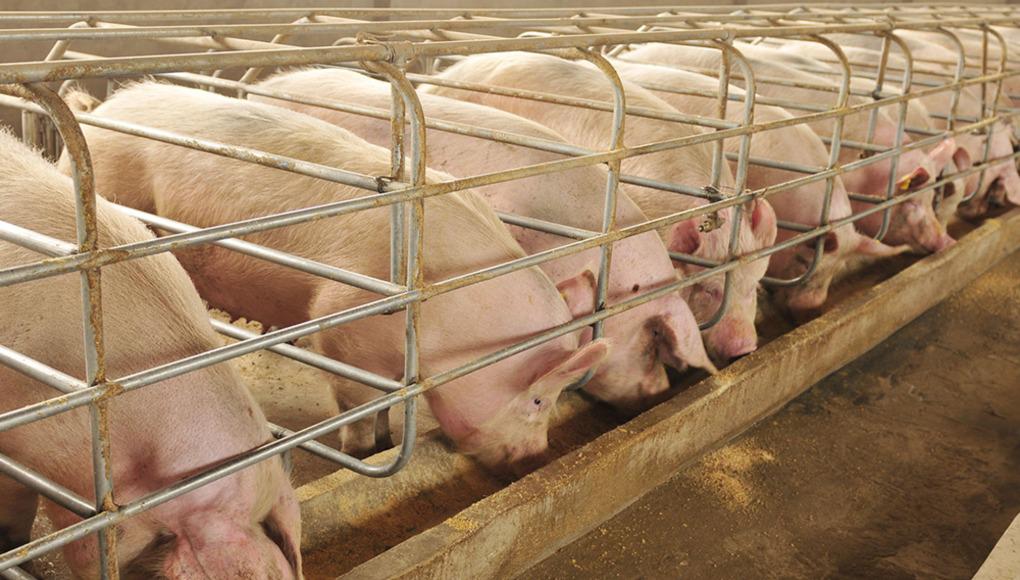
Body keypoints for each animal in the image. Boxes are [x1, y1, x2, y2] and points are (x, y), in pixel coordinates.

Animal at [65, 82, 608, 470]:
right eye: (538, 398)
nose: (535, 455)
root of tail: (100, 108)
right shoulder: (342, 324)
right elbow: (358, 402)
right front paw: (363, 452)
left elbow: (386, 403)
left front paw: (388, 439)